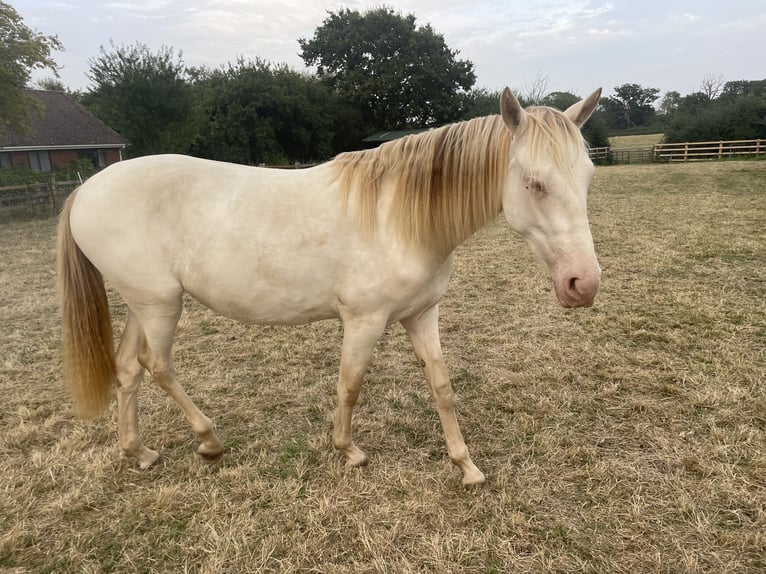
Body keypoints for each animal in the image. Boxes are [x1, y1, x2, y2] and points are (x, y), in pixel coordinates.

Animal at [57, 89, 604, 486]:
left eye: (588, 177)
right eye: (534, 183)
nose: (583, 283)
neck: (396, 218)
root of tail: (86, 190)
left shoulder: (421, 314)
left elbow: (442, 386)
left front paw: (465, 465)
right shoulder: (364, 321)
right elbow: (351, 384)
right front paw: (349, 450)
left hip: (143, 303)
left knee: (129, 369)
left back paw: (138, 451)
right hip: (161, 305)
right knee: (157, 365)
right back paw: (208, 440)